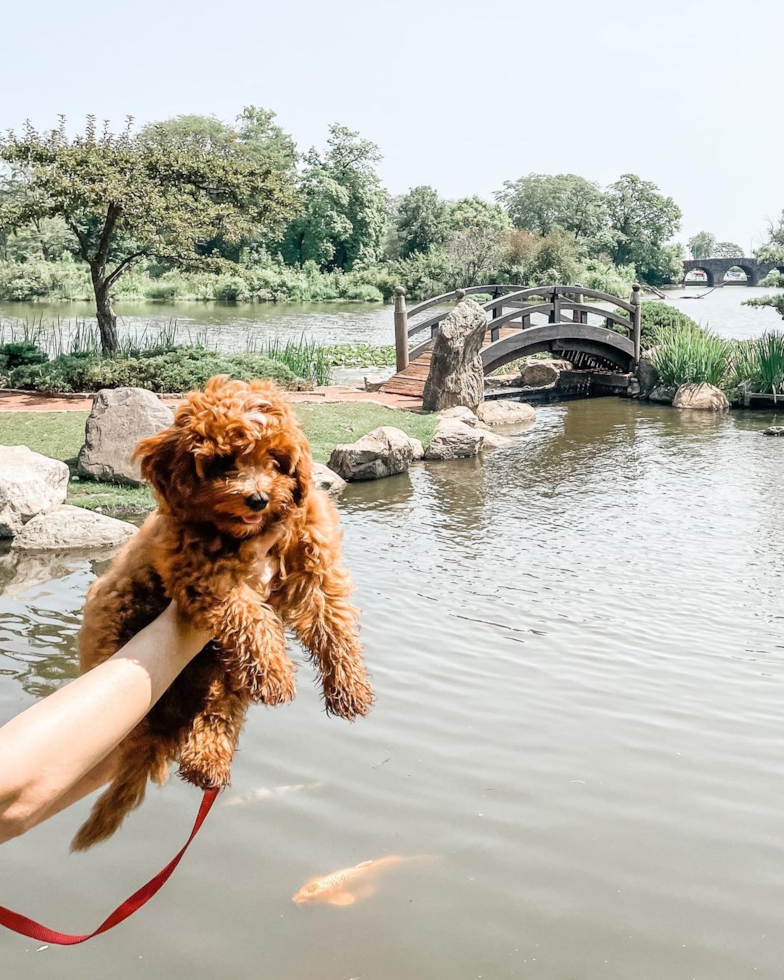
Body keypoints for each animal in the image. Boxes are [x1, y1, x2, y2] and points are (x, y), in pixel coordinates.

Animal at [71, 376, 374, 848]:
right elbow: (247, 612)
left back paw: (208, 765)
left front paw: (350, 689)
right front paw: (276, 672)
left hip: (217, 674)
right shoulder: (200, 572)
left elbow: (333, 622)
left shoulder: (315, 565)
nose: (257, 499)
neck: (241, 535)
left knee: (216, 712)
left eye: (276, 460)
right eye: (222, 462)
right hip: (122, 612)